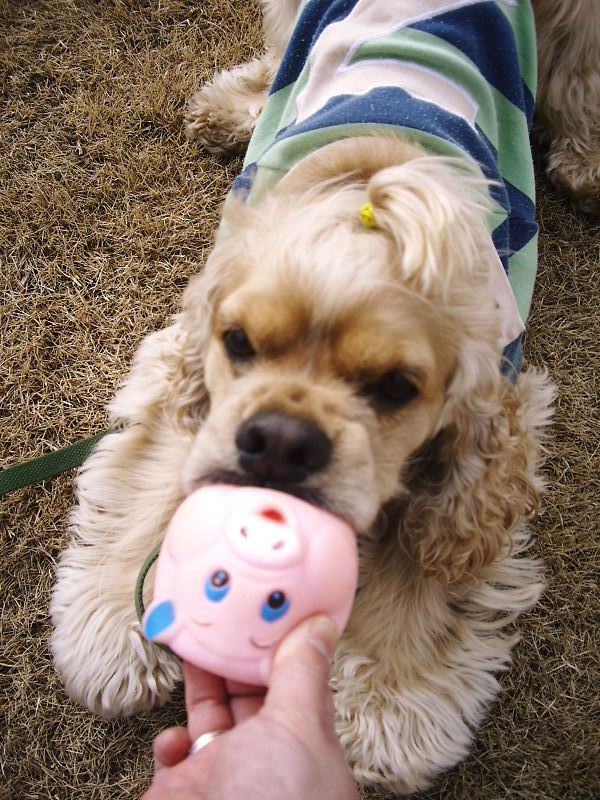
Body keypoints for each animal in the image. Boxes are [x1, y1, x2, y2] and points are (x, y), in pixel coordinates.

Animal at [50, 0, 598, 794]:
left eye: (397, 388)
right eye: (238, 341)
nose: (280, 439)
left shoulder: (499, 394)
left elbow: (422, 551)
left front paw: (386, 709)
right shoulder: (189, 365)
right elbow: (157, 474)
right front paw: (116, 630)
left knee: (577, 80)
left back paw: (585, 166)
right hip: (299, 24)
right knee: (275, 58)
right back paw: (228, 113)